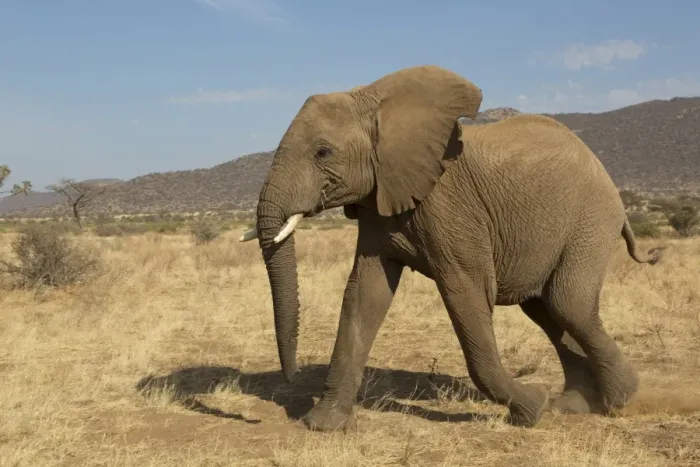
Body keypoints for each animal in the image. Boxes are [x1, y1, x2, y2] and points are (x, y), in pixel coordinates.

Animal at [239, 65, 665, 432]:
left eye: (323, 152)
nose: (291, 377)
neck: (378, 104)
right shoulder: (381, 199)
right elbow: (364, 295)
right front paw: (324, 426)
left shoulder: (450, 206)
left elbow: (468, 293)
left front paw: (531, 409)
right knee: (546, 309)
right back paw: (575, 405)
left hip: (591, 221)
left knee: (567, 302)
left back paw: (620, 399)